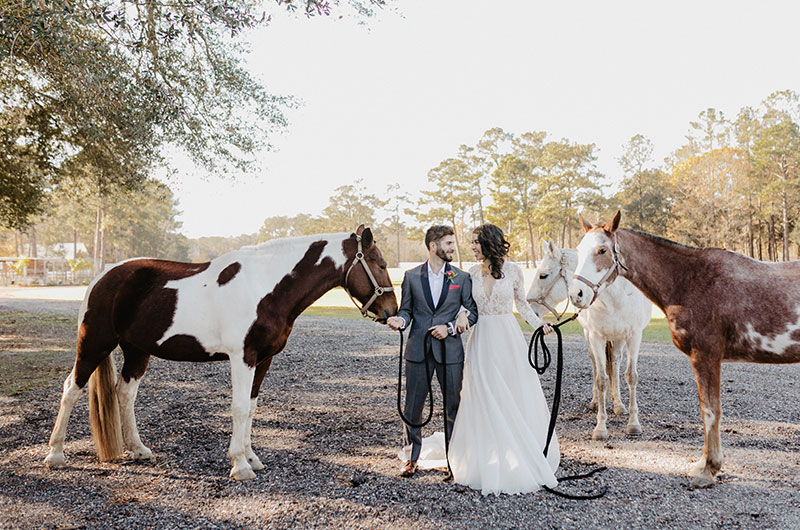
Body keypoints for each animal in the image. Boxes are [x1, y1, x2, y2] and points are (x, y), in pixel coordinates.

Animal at [44, 223, 396, 478]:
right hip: (94, 343)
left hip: (136, 351)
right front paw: (239, 465)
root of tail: (102, 277)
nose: (391, 311)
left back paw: (139, 450)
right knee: (71, 389)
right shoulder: (243, 358)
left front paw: (252, 458)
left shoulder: (263, 360)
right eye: (380, 264)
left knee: (124, 393)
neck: (265, 286)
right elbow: (239, 408)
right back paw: (55, 454)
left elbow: (251, 408)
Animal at [528, 239, 652, 438]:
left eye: (543, 275)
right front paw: (600, 427)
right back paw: (596, 401)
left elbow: (631, 376)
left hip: (618, 338)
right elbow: (601, 379)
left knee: (615, 362)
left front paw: (633, 424)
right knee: (595, 362)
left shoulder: (634, 336)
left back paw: (618, 404)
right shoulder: (596, 336)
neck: (615, 295)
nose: (531, 310)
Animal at [568, 210, 800, 486]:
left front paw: (708, 469)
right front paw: (706, 464)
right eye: (578, 251)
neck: (691, 280)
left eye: (602, 250)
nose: (576, 294)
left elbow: (710, 410)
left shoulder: (706, 356)